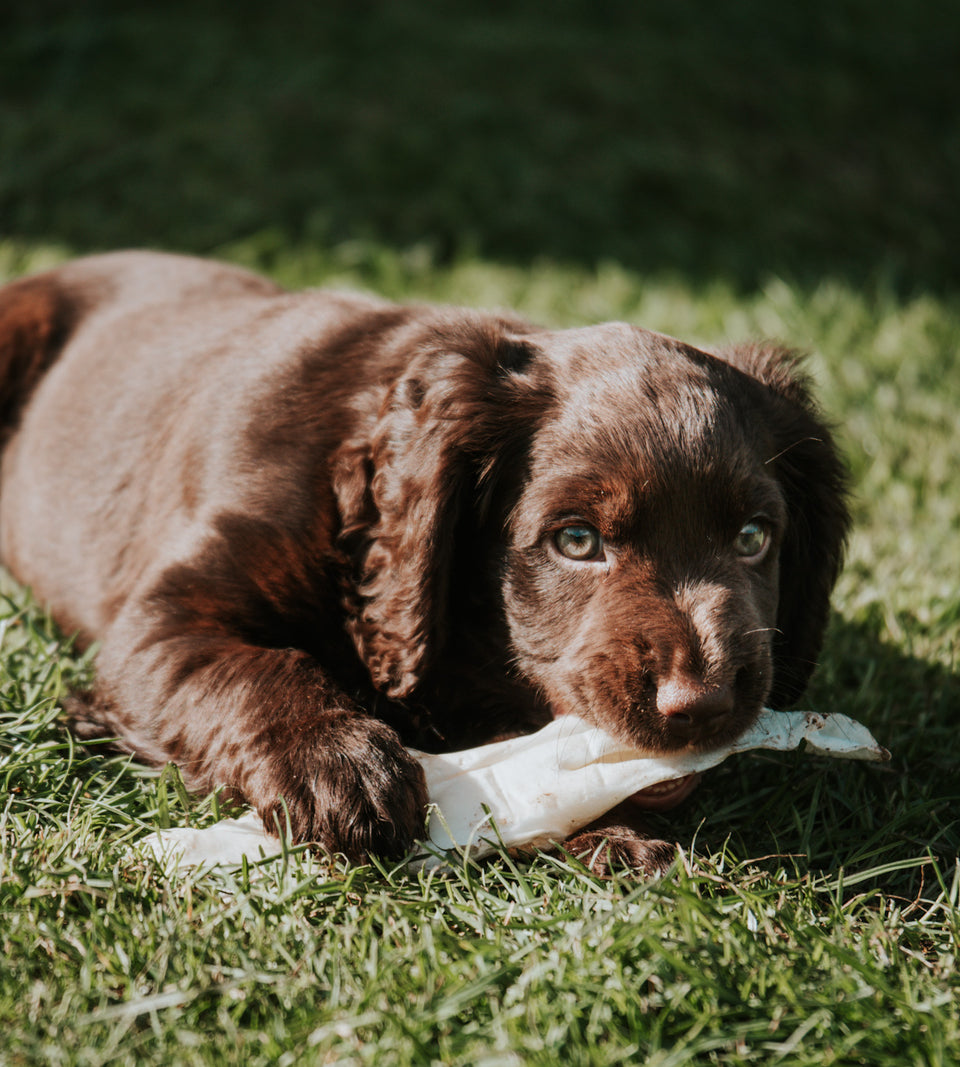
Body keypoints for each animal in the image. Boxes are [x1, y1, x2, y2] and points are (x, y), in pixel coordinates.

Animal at [0, 251, 849, 874]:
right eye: (576, 540)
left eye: (753, 538)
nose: (701, 705)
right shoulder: (160, 617)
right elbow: (252, 669)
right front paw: (340, 766)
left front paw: (610, 837)